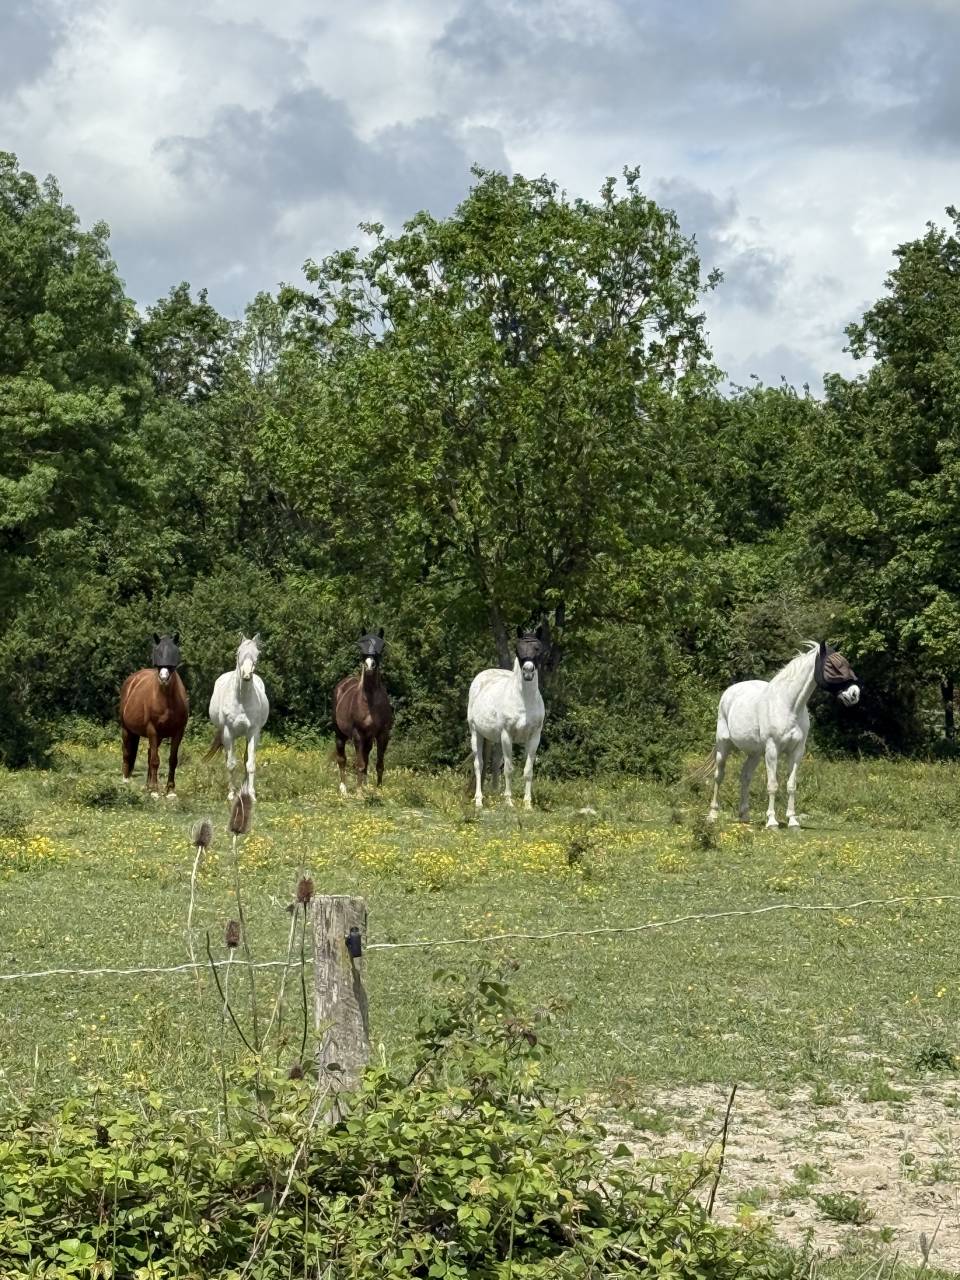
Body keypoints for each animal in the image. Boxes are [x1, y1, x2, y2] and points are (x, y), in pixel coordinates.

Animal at [119, 633, 190, 799]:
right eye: (157, 652)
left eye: (173, 653)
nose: (164, 678)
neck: (167, 701)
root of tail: (132, 679)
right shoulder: (152, 730)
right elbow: (155, 760)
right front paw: (156, 791)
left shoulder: (178, 732)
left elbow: (172, 760)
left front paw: (170, 791)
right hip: (127, 729)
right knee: (127, 752)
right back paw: (126, 781)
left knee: (149, 754)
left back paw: (147, 786)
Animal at [204, 635, 270, 801]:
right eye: (238, 652)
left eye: (257, 654)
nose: (246, 675)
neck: (241, 699)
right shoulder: (228, 733)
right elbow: (231, 764)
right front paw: (231, 794)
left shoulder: (253, 733)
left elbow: (250, 764)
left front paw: (251, 794)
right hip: (225, 735)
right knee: (227, 758)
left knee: (246, 758)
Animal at [333, 629, 394, 795]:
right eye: (361, 645)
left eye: (381, 646)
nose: (369, 665)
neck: (370, 702)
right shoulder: (358, 734)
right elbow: (359, 764)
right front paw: (359, 793)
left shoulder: (382, 734)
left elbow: (379, 764)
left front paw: (378, 790)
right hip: (340, 734)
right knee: (342, 759)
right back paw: (344, 789)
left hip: (368, 739)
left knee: (366, 758)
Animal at [468, 626, 547, 810]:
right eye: (518, 649)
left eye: (537, 648)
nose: (527, 672)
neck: (524, 699)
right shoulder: (507, 735)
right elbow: (509, 769)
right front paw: (509, 802)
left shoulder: (534, 737)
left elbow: (528, 771)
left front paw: (527, 804)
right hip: (476, 733)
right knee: (479, 764)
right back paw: (479, 800)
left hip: (495, 739)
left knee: (495, 763)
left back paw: (495, 794)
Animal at [705, 640, 860, 829]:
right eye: (832, 665)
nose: (854, 694)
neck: (788, 705)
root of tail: (729, 692)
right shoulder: (772, 750)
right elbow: (772, 785)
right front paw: (772, 821)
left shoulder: (796, 752)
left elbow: (791, 785)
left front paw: (793, 821)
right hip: (723, 746)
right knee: (719, 776)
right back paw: (712, 815)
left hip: (755, 753)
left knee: (745, 776)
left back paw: (744, 816)